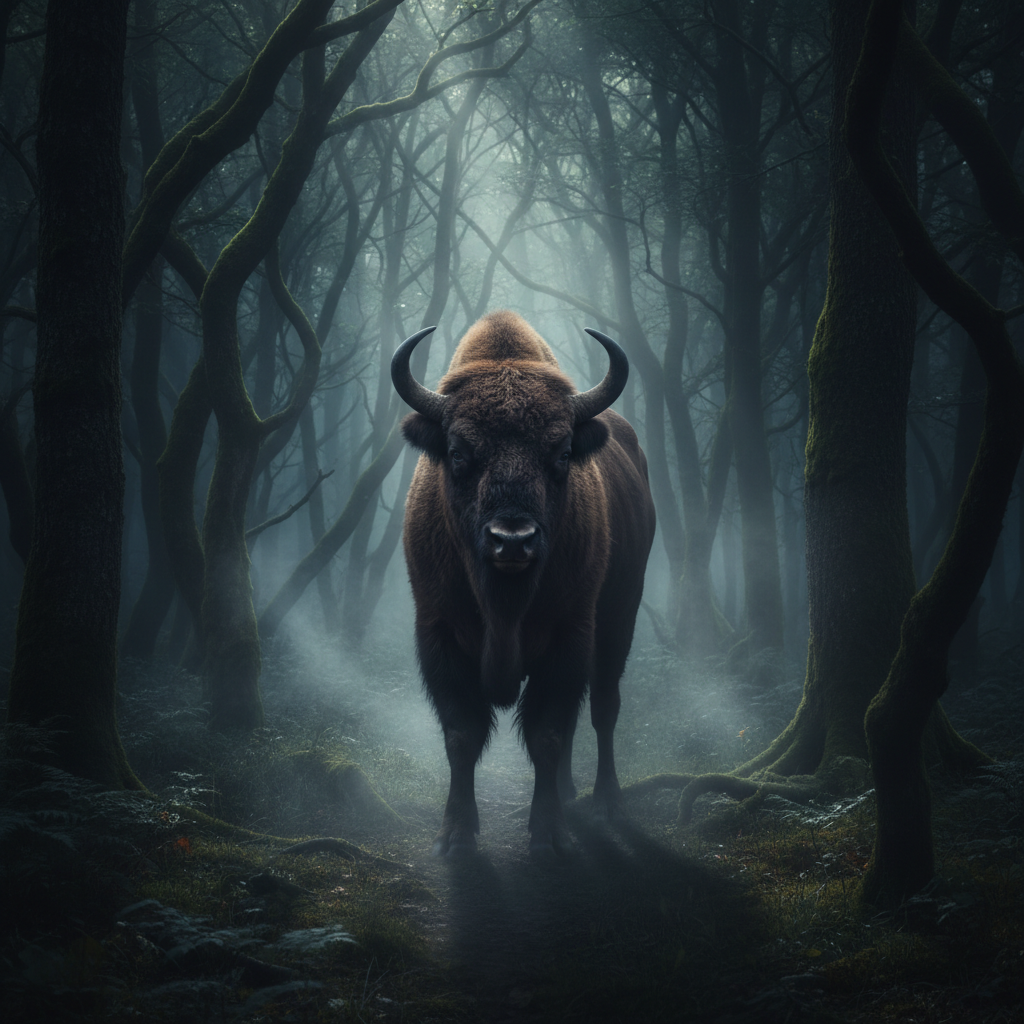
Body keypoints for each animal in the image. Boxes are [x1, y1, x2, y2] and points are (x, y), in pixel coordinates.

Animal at [392, 310, 656, 858]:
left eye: (561, 453)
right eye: (457, 452)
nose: (512, 540)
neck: (503, 607)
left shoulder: (569, 635)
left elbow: (548, 733)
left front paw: (550, 836)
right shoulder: (439, 633)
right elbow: (462, 735)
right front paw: (455, 836)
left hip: (619, 617)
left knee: (603, 708)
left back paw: (607, 803)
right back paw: (572, 792)